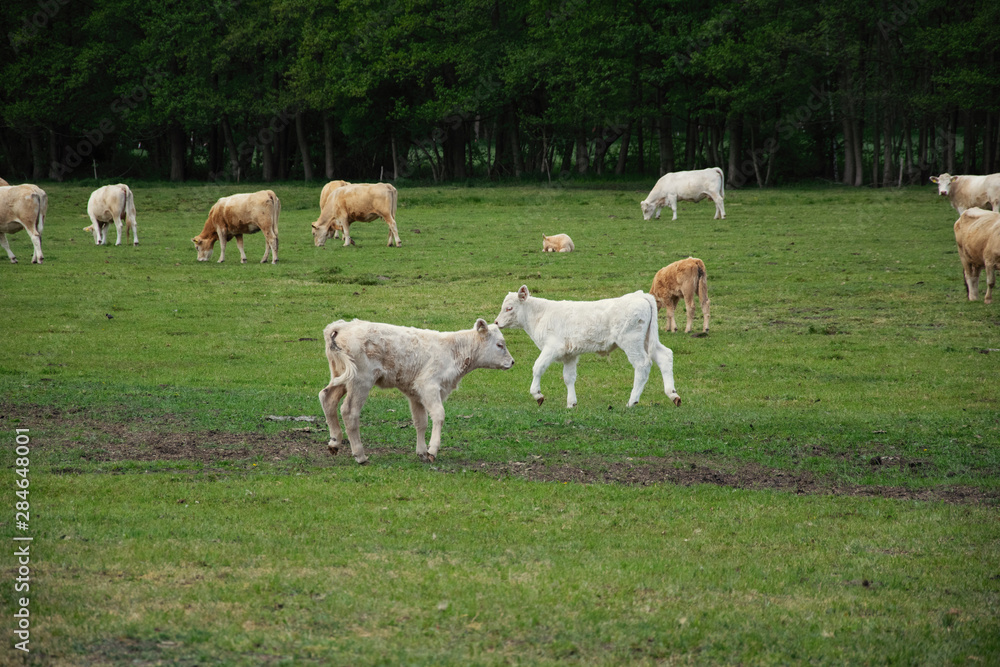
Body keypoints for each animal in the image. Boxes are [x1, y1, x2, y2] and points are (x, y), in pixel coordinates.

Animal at [318, 318, 514, 464]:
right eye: (499, 345)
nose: (512, 362)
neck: (453, 350)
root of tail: (342, 325)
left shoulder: (415, 393)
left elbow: (421, 422)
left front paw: (421, 452)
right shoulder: (428, 386)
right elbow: (438, 415)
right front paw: (432, 450)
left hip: (341, 376)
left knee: (327, 397)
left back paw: (334, 442)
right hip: (360, 381)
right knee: (349, 411)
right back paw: (360, 455)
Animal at [494, 285, 681, 408]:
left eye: (509, 308)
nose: (496, 322)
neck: (541, 315)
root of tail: (639, 296)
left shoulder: (552, 348)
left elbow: (538, 367)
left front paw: (537, 395)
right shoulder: (569, 355)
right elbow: (569, 377)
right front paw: (571, 403)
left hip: (631, 341)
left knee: (642, 365)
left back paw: (632, 400)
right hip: (648, 340)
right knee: (665, 356)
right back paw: (673, 395)